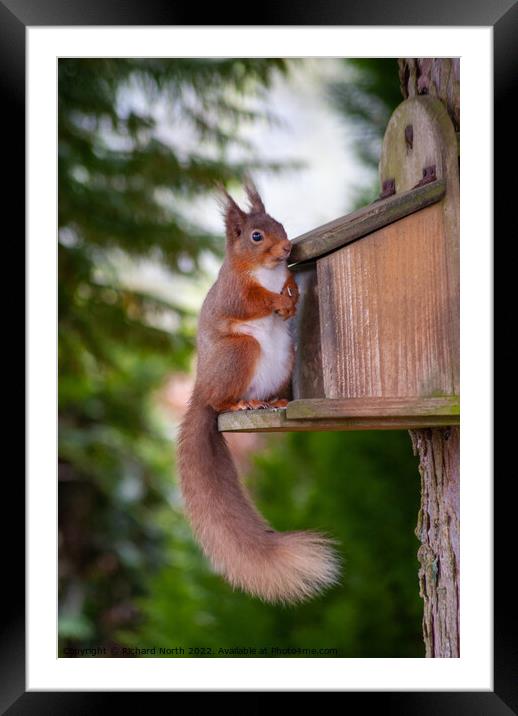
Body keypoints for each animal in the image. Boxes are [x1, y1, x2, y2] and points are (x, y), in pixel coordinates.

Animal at [179, 180, 342, 604]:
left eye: (280, 223)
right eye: (256, 236)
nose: (287, 249)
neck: (266, 271)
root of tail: (201, 386)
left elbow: (289, 288)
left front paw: (292, 292)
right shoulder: (234, 292)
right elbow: (251, 301)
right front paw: (275, 300)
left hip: (285, 356)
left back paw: (276, 400)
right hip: (240, 353)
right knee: (220, 402)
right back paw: (241, 402)